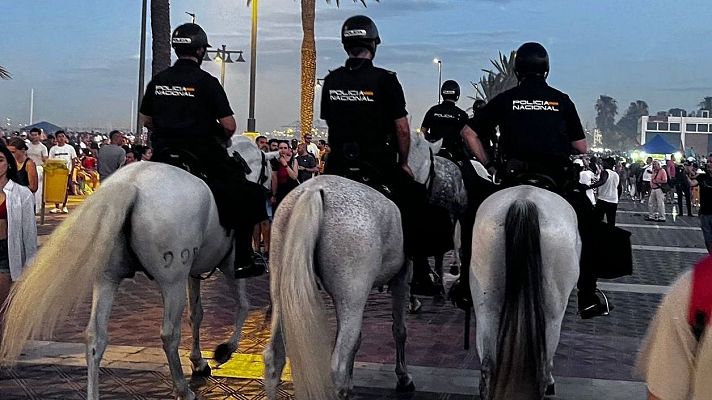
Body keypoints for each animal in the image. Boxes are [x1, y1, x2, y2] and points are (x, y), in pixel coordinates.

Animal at [0, 135, 272, 400]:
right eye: (267, 170)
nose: (269, 194)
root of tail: (130, 183)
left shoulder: (193, 272)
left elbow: (197, 314)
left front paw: (198, 362)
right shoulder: (229, 266)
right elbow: (242, 306)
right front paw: (224, 351)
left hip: (107, 278)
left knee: (95, 336)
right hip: (171, 280)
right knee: (169, 334)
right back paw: (183, 389)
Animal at [262, 132, 436, 400]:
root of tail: (313, 191)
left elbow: (360, 339)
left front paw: (351, 383)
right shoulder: (401, 277)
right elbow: (399, 329)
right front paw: (404, 378)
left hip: (283, 288)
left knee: (274, 357)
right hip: (352, 293)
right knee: (336, 364)